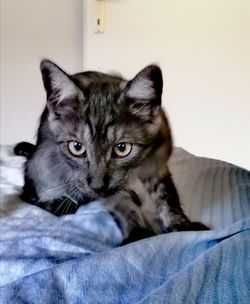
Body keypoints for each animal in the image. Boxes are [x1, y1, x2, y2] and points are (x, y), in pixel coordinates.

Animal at [14, 60, 208, 243]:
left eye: (122, 148)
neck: (135, 168)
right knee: (30, 191)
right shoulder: (104, 188)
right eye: (77, 147)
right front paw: (139, 232)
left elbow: (167, 194)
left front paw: (180, 224)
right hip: (44, 165)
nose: (97, 186)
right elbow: (121, 203)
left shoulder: (158, 164)